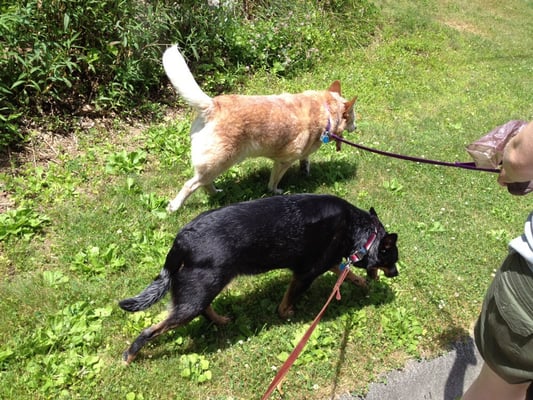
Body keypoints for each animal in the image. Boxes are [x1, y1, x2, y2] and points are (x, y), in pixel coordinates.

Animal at [118, 192, 396, 364]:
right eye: (392, 258)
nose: (396, 273)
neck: (359, 230)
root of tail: (181, 240)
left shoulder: (321, 263)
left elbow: (345, 274)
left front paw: (362, 283)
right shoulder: (306, 273)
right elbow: (289, 300)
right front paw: (286, 314)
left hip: (204, 289)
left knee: (205, 309)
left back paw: (220, 320)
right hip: (195, 298)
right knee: (150, 330)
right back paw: (129, 357)